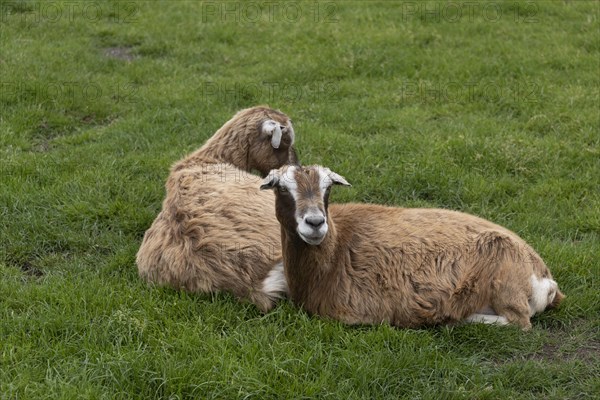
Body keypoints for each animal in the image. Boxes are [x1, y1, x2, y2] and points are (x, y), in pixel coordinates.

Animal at [260, 164, 564, 330]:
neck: (337, 249)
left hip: (504, 279)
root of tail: (544, 276)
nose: (315, 223)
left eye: (328, 189)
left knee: (519, 322)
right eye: (282, 188)